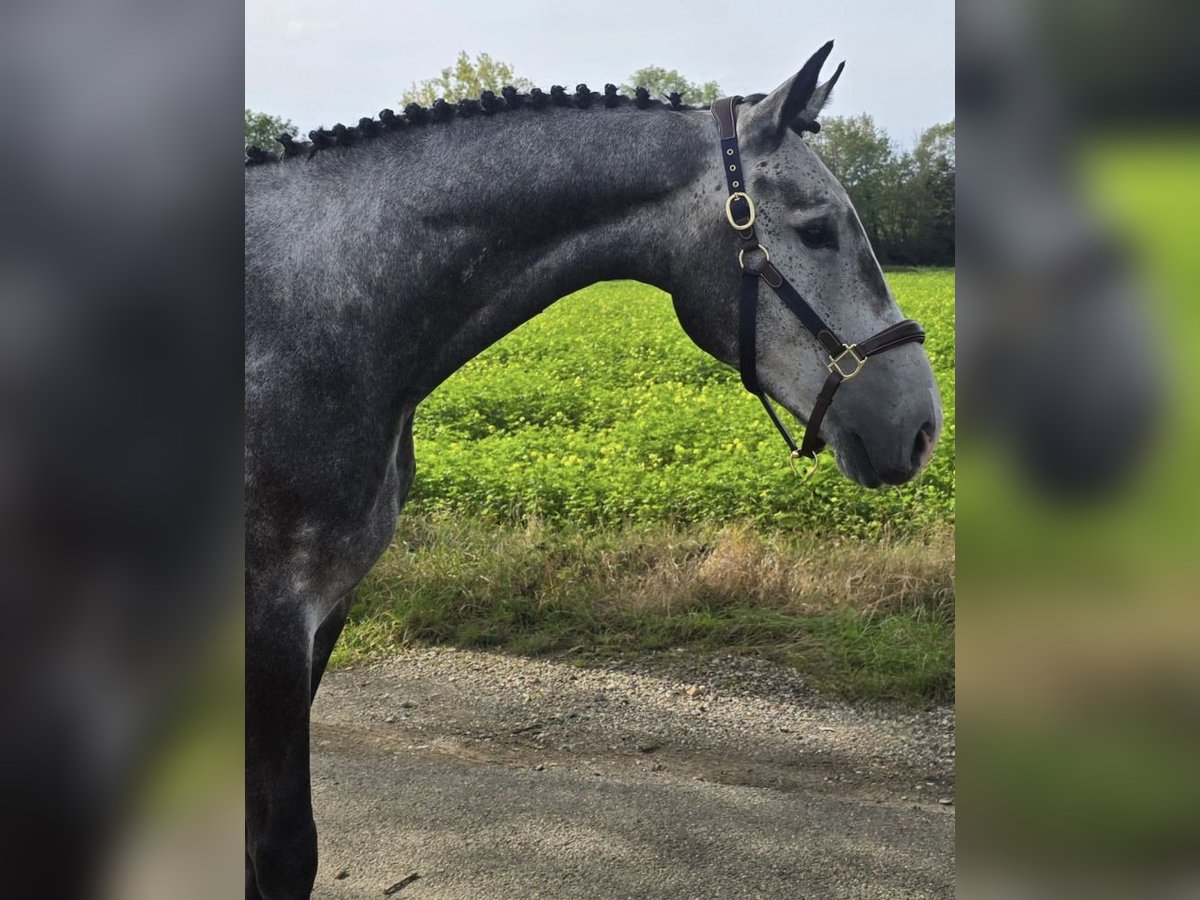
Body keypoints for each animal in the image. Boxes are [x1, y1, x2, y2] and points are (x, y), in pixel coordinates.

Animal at [241, 44, 936, 900]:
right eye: (818, 229)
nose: (919, 425)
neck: (318, 311)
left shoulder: (327, 613)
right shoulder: (273, 620)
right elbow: (280, 851)